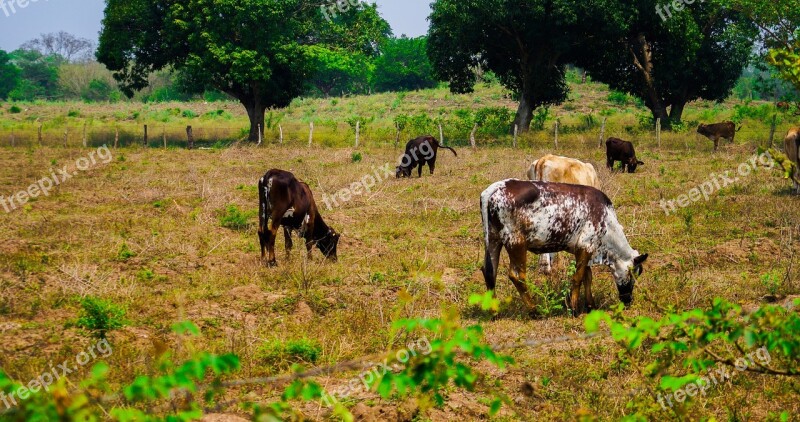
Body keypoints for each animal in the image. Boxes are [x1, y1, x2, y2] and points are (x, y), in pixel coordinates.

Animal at [478, 180, 648, 314]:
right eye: (634, 273)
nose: (628, 300)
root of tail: (497, 186)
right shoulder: (586, 246)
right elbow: (578, 278)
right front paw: (574, 309)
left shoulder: (583, 250)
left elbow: (587, 277)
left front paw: (590, 306)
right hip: (516, 242)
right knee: (517, 275)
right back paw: (534, 310)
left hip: (493, 239)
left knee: (490, 272)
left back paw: (494, 311)